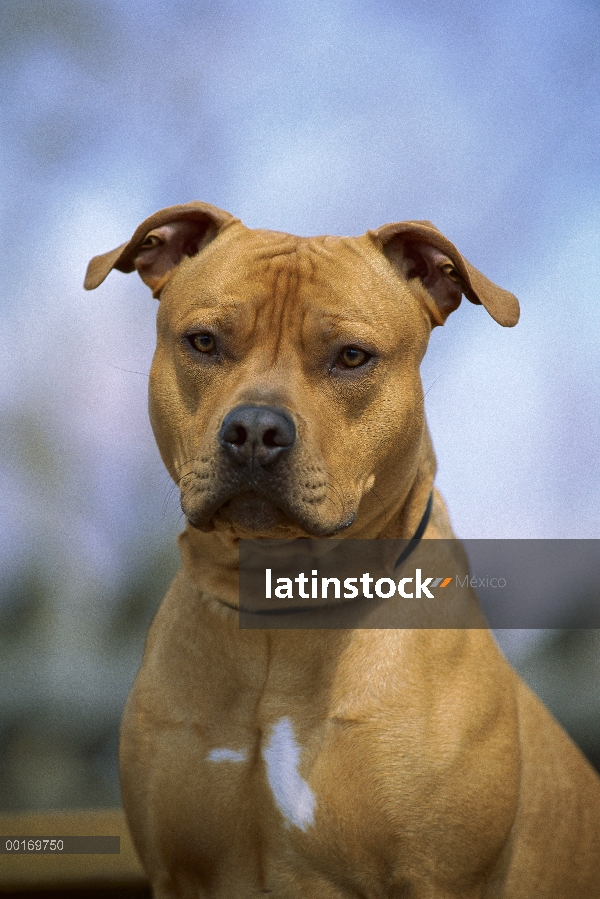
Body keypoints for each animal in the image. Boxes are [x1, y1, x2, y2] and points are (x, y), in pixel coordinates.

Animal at [84, 204, 600, 899]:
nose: (255, 429)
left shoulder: (436, 878)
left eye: (352, 357)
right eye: (204, 342)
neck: (281, 608)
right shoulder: (175, 871)